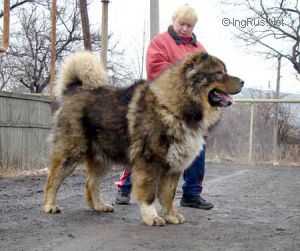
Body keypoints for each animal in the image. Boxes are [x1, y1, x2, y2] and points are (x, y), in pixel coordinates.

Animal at [42, 50, 244, 226]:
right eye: (219, 73)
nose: (242, 81)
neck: (175, 108)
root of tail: (75, 90)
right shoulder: (149, 162)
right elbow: (149, 194)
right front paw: (152, 217)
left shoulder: (173, 166)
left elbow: (169, 195)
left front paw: (171, 215)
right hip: (71, 154)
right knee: (53, 180)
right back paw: (50, 206)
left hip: (102, 159)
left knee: (90, 184)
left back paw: (99, 206)